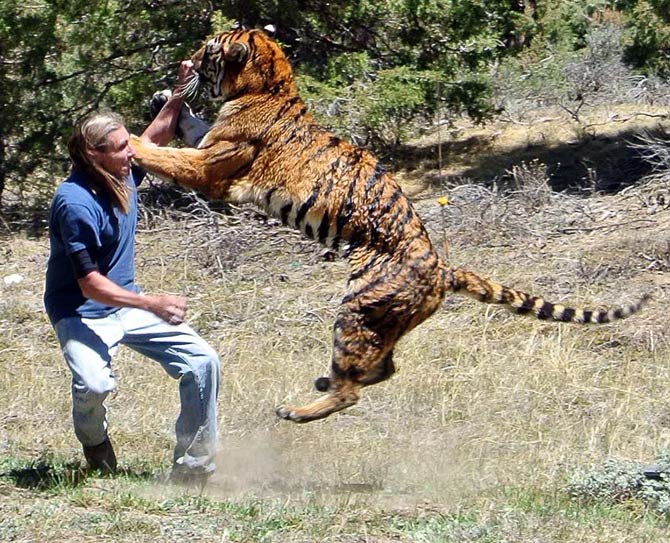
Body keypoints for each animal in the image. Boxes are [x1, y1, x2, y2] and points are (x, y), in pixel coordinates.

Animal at [131, 27, 652, 424]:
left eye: (209, 50)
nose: (185, 60)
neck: (269, 84)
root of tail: (444, 269)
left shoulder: (210, 170)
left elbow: (164, 155)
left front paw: (126, 140)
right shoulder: (207, 149)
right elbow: (188, 129)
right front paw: (164, 100)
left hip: (356, 308)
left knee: (355, 388)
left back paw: (298, 410)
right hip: (384, 321)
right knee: (383, 369)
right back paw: (325, 380)